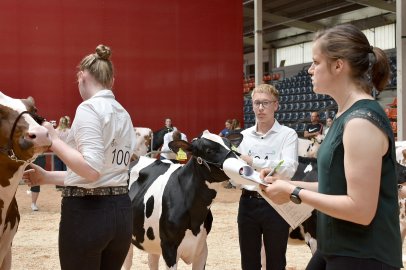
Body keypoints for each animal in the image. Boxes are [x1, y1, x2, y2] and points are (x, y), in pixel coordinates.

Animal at [122, 130, 243, 268]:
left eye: (230, 146)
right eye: (208, 150)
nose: (241, 167)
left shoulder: (202, 249)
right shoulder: (169, 249)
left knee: (152, 261)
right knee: (128, 263)